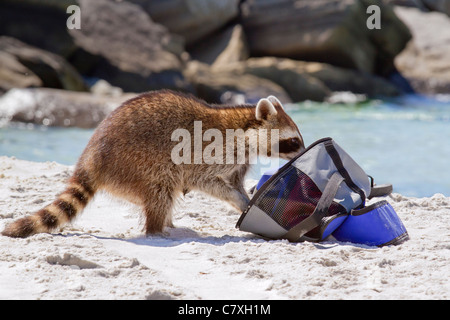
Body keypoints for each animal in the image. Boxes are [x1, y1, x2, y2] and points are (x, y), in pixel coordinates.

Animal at [1, 90, 304, 238]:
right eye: (293, 142)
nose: (303, 152)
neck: (243, 127)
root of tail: (90, 160)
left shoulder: (239, 160)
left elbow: (234, 182)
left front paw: (248, 196)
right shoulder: (211, 151)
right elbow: (204, 181)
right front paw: (240, 201)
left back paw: (167, 222)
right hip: (136, 160)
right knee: (163, 185)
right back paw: (159, 229)